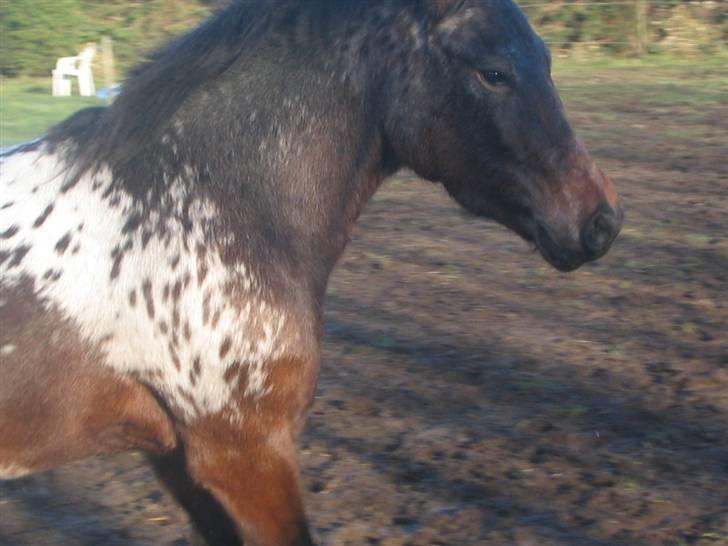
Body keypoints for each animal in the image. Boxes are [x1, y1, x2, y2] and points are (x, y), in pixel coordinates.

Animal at [0, 0, 622, 544]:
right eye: (493, 72)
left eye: (545, 61)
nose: (600, 222)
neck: (204, 207)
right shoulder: (246, 457)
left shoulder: (180, 460)